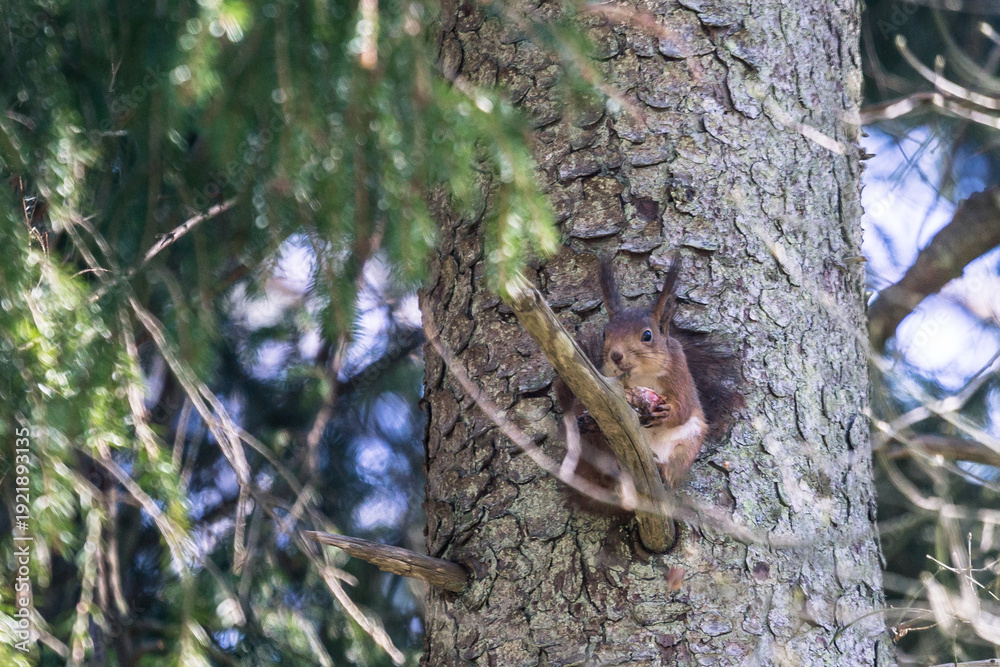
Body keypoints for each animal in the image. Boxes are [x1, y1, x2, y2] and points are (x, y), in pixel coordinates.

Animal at [555, 256, 743, 490]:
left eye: (647, 335)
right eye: (605, 334)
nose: (616, 355)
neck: (641, 374)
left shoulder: (679, 371)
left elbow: (684, 405)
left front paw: (667, 413)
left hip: (688, 442)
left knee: (677, 462)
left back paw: (665, 471)